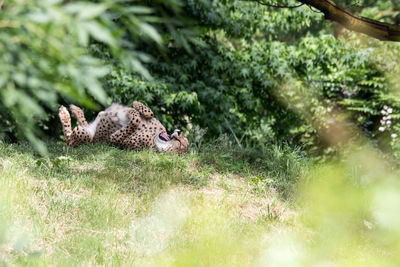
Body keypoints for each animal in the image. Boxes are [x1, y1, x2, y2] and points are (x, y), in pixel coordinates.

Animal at [58, 102, 189, 154]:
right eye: (182, 138)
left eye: (180, 145)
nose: (179, 131)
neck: (154, 137)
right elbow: (149, 113)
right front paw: (136, 105)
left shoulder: (115, 140)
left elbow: (135, 121)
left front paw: (134, 113)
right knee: (85, 121)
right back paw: (74, 109)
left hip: (84, 135)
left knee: (69, 139)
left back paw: (64, 113)